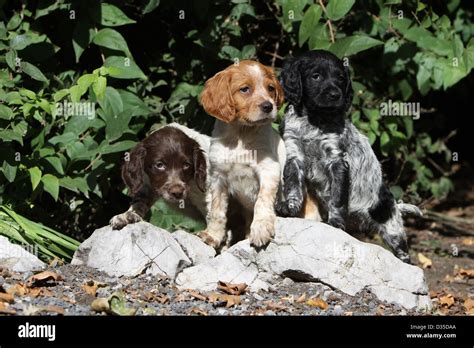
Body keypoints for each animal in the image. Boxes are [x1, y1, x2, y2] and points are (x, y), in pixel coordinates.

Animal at [197, 60, 286, 250]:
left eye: (270, 88)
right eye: (245, 89)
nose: (268, 106)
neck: (241, 134)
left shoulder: (269, 169)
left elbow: (262, 201)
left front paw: (260, 228)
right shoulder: (218, 177)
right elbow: (217, 210)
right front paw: (212, 236)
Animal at [276, 50, 420, 262]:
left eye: (341, 78)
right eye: (315, 76)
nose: (336, 95)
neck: (313, 120)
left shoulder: (337, 161)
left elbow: (337, 198)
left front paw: (335, 222)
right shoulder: (294, 154)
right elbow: (293, 187)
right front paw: (290, 208)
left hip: (392, 229)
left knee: (403, 254)